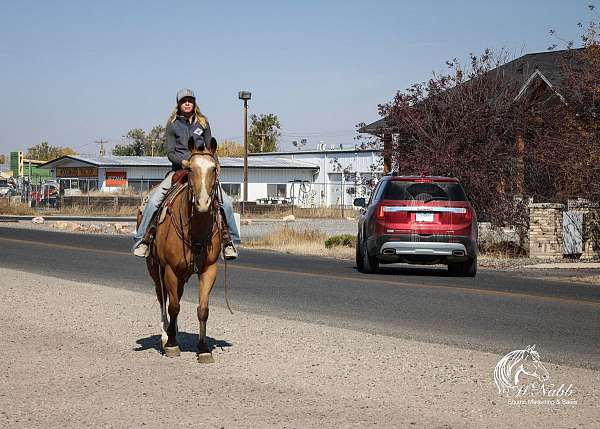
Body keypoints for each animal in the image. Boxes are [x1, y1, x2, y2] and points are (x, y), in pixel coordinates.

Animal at [138, 136, 227, 362]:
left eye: (213, 168)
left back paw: (174, 330)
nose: (203, 203)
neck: (195, 230)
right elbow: (174, 306)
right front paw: (171, 344)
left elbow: (202, 309)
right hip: (154, 267)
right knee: (163, 298)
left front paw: (203, 348)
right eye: (191, 169)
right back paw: (165, 334)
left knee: (175, 295)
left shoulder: (209, 269)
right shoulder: (170, 269)